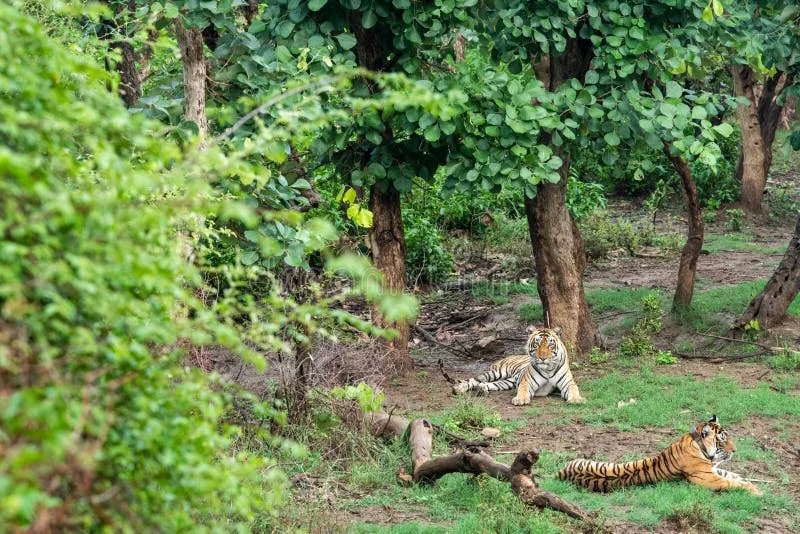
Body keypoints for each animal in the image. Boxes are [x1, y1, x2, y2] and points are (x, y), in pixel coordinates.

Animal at [454, 326, 584, 406]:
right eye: (536, 344)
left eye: (550, 345)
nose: (543, 358)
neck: (547, 369)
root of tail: (504, 357)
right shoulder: (526, 382)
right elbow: (523, 389)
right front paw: (520, 399)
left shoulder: (568, 383)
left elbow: (574, 389)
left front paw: (576, 399)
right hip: (496, 372)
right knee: (473, 380)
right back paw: (459, 388)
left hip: (508, 382)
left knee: (488, 384)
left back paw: (481, 389)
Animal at [556, 414, 764, 498]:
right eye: (722, 440)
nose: (735, 450)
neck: (698, 444)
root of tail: (560, 473)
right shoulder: (709, 479)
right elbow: (733, 482)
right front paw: (756, 491)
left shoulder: (713, 470)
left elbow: (733, 476)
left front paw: (751, 482)